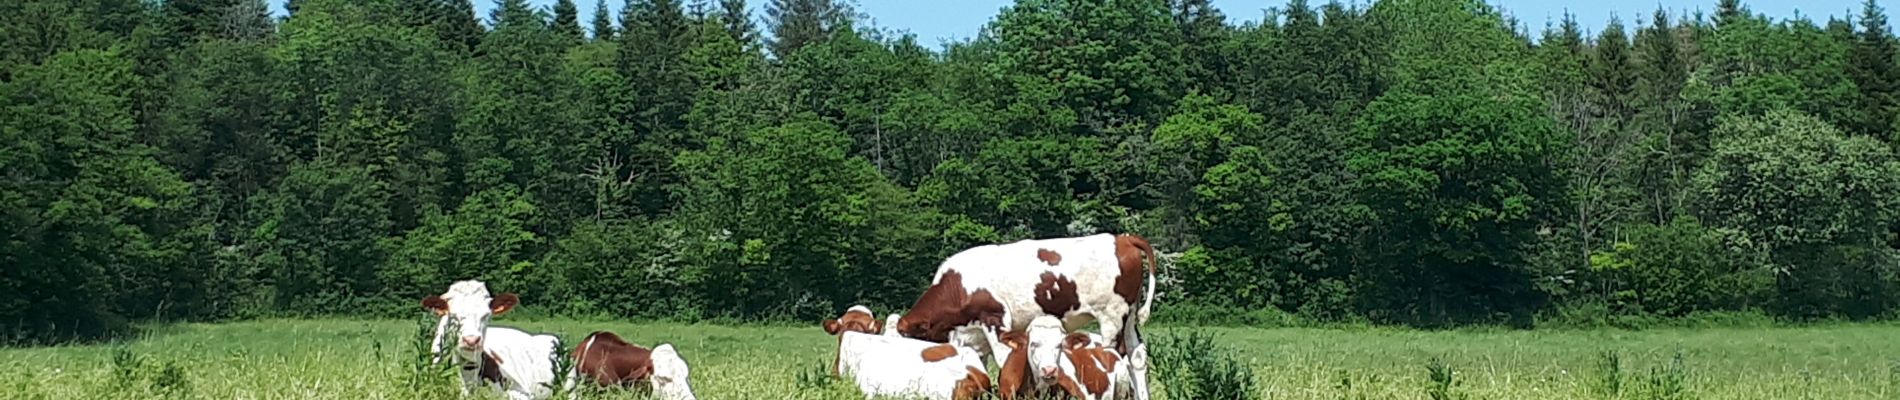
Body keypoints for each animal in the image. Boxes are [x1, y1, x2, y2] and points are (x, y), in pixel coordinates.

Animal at [896, 234, 1162, 369]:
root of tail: (1122, 238)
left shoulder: (995, 318)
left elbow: (1003, 360)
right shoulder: (973, 337)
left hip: (1111, 316)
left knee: (1112, 355)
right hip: (1129, 316)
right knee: (1137, 356)